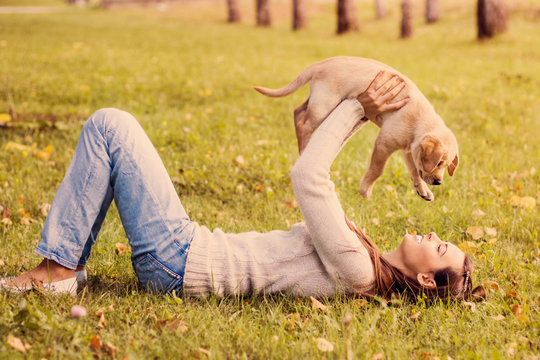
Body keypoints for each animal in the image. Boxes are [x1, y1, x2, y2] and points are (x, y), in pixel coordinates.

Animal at [255, 57, 458, 201]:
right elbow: (378, 169)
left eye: (445, 165)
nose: (438, 182)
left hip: (319, 101)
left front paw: (423, 190)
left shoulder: (409, 150)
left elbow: (415, 171)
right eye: (438, 163)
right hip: (325, 104)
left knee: (298, 112)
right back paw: (304, 148)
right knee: (304, 123)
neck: (418, 122)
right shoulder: (384, 143)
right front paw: (365, 190)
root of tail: (320, 64)